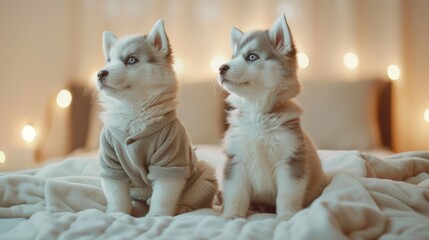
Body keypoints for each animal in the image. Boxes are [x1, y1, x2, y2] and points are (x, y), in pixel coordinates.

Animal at [96, 19, 217, 217]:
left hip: (205, 177)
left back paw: (182, 207)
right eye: (108, 60)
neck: (133, 111)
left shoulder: (170, 163)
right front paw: (117, 214)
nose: (100, 73)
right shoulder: (111, 164)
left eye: (131, 60)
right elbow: (117, 197)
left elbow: (162, 198)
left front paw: (156, 217)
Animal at [217, 15, 328, 221]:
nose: (221, 67)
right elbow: (235, 193)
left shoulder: (290, 160)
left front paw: (287, 217)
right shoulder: (237, 159)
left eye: (252, 57)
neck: (257, 113)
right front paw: (232, 216)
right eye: (233, 56)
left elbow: (287, 195)